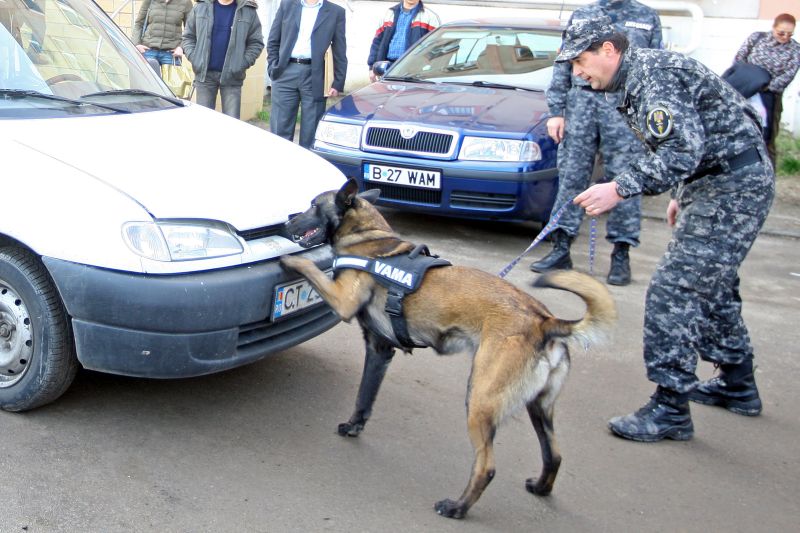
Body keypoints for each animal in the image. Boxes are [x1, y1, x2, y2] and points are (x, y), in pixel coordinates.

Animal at [282, 178, 620, 516]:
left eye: (313, 205)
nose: (286, 221)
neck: (367, 236)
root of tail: (544, 322)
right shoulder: (380, 350)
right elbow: (364, 396)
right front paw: (354, 426)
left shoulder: (342, 301)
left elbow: (310, 268)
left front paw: (288, 260)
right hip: (538, 407)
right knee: (554, 454)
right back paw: (540, 487)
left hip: (479, 401)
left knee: (487, 467)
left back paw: (457, 507)